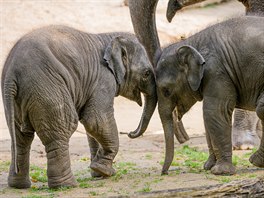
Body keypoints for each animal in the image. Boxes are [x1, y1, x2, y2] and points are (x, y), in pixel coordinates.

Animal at [1, 25, 157, 188]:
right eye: (146, 73)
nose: (130, 133)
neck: (109, 37)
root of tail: (12, 73)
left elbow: (92, 127)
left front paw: (99, 173)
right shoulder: (103, 79)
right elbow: (95, 121)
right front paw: (103, 170)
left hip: (18, 99)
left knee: (21, 137)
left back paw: (19, 185)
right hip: (47, 88)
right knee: (62, 130)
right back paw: (66, 185)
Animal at [156, 16, 264, 175]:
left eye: (166, 90)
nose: (165, 172)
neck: (192, 42)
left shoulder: (216, 71)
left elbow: (215, 112)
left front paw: (220, 171)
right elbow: (208, 117)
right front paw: (209, 166)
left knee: (261, 109)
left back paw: (254, 161)